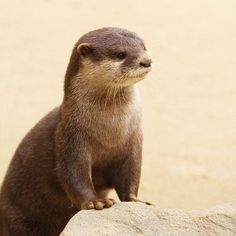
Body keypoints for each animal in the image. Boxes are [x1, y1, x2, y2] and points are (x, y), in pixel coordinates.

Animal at [0, 28, 151, 236]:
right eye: (120, 54)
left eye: (144, 47)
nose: (146, 61)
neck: (110, 133)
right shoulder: (70, 138)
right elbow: (73, 175)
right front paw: (97, 202)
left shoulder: (133, 144)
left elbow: (131, 176)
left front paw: (137, 201)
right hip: (16, 220)